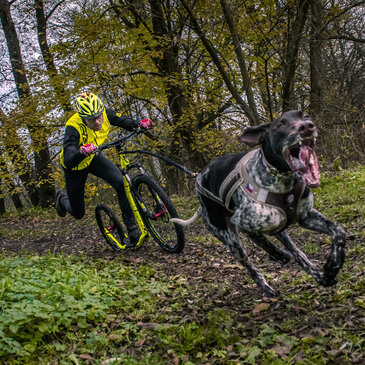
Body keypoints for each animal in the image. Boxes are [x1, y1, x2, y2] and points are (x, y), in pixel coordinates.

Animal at [172, 110, 346, 296]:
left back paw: (319, 275)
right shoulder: (244, 226)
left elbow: (338, 231)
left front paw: (333, 265)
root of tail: (199, 179)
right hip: (232, 242)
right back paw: (266, 286)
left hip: (279, 228)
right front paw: (278, 255)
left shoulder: (306, 216)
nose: (307, 126)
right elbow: (265, 243)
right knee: (251, 267)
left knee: (297, 252)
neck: (282, 181)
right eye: (281, 124)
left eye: (305, 116)